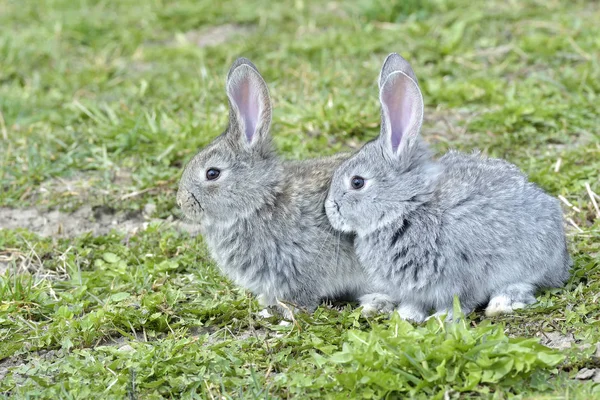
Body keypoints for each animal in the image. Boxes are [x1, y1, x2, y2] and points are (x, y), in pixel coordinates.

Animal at [324, 53, 572, 322]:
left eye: (357, 182)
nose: (329, 209)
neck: (407, 208)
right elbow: (414, 302)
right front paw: (406, 316)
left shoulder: (463, 274)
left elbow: (460, 301)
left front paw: (441, 319)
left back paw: (500, 305)